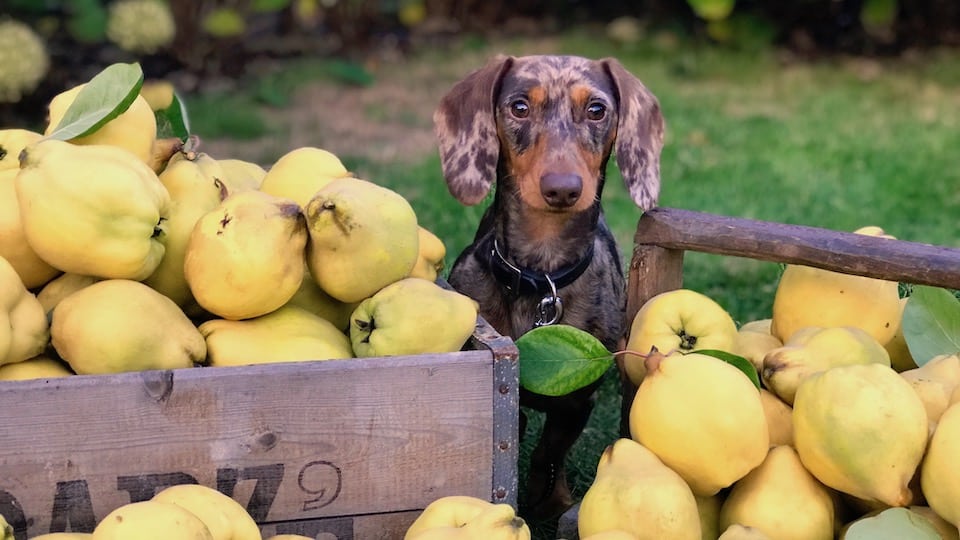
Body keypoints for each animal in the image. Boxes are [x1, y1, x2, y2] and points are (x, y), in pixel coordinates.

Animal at [434, 54, 664, 520]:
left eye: (597, 109)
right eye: (519, 107)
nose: (562, 189)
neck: (540, 278)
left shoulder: (577, 401)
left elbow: (549, 452)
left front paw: (549, 500)